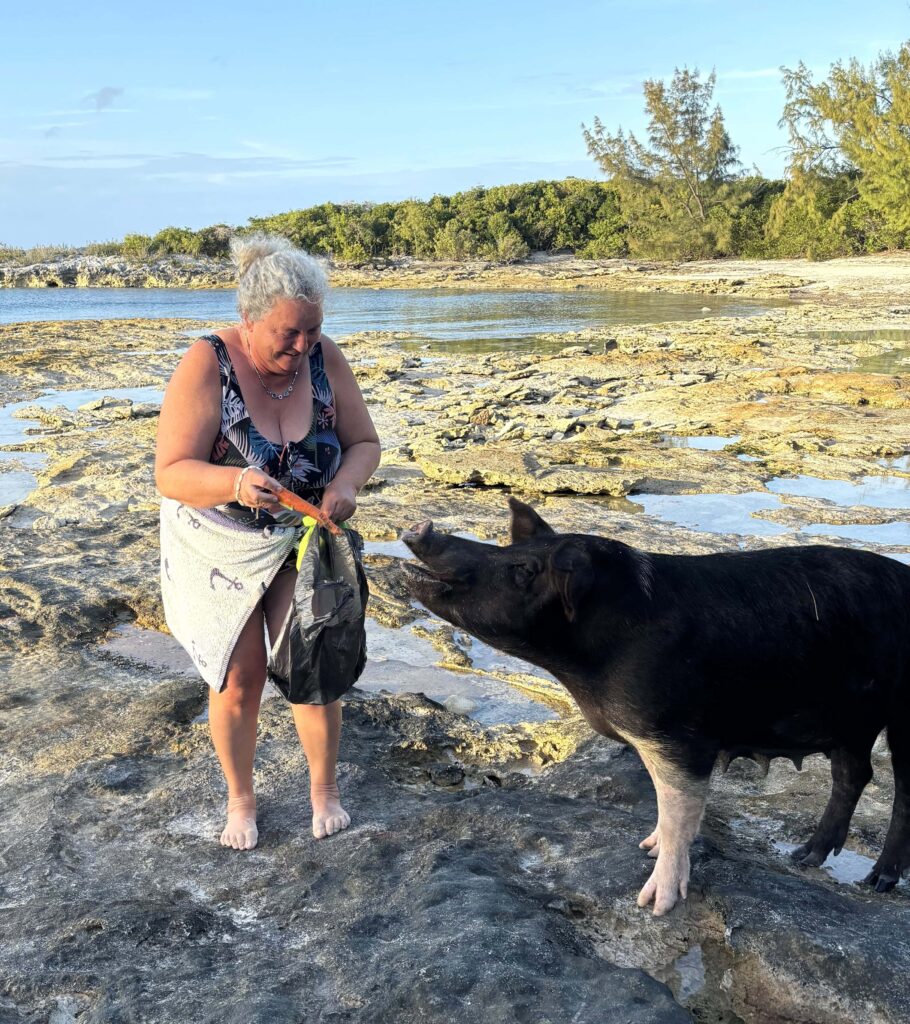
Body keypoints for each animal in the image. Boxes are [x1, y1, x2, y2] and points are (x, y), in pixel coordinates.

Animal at [401, 498, 910, 915]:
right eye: (506, 550)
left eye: (523, 569)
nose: (422, 527)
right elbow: (668, 811)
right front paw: (647, 844)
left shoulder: (680, 736)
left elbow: (680, 811)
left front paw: (653, 904)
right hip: (849, 722)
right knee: (854, 775)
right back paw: (805, 858)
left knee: (900, 791)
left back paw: (878, 882)